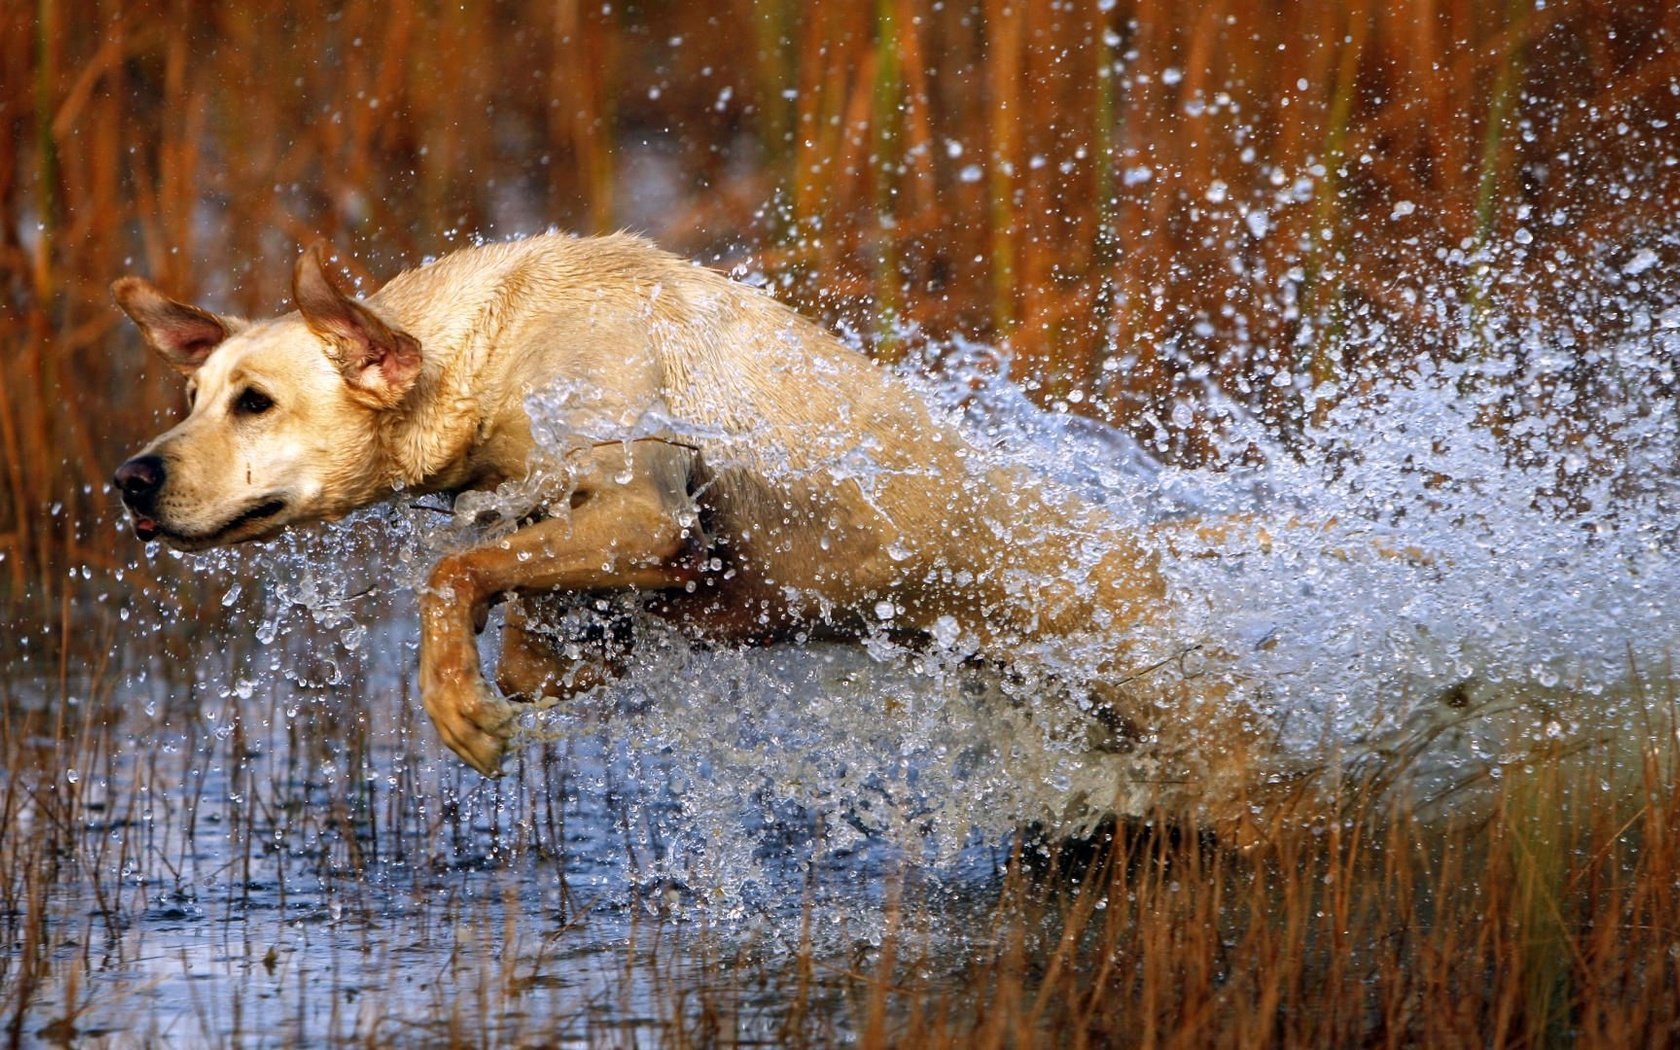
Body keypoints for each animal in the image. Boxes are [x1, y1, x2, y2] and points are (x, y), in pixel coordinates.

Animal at [115, 235, 1263, 803]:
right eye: (191, 396)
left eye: (255, 402)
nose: (130, 479)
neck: (490, 347)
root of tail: (1158, 553)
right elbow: (526, 628)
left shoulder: (643, 503)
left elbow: (455, 575)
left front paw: (456, 703)